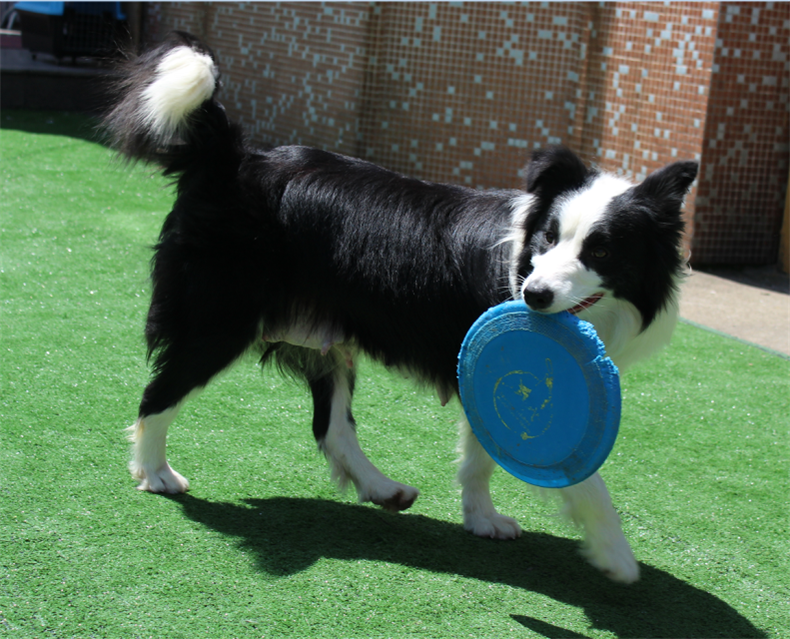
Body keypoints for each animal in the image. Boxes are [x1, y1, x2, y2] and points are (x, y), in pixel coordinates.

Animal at [105, 33, 700, 584]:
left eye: (600, 250)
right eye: (548, 239)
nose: (533, 295)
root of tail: (232, 158)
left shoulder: (479, 367)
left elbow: (480, 455)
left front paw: (482, 520)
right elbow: (583, 475)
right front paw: (616, 556)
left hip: (323, 334)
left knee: (331, 426)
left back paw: (382, 488)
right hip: (218, 318)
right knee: (160, 393)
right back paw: (155, 473)